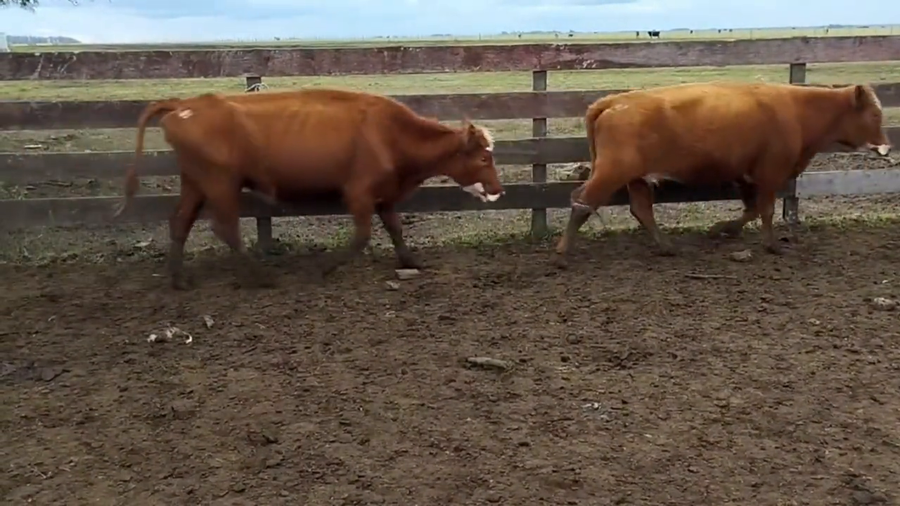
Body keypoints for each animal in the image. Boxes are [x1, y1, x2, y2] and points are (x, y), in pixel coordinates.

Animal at [113, 89, 504, 290]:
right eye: (485, 157)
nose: (498, 189)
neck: (389, 132)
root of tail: (187, 104)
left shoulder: (384, 196)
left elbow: (395, 227)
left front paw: (410, 261)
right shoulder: (359, 193)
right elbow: (362, 236)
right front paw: (326, 269)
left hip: (194, 183)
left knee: (180, 222)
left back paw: (178, 278)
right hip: (220, 183)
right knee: (225, 228)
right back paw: (261, 276)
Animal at [554, 81, 891, 265]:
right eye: (875, 114)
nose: (886, 147)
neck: (797, 110)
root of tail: (611, 101)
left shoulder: (746, 175)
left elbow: (751, 209)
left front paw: (722, 229)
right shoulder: (770, 173)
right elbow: (765, 210)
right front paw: (770, 245)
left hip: (635, 177)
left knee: (640, 209)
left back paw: (666, 247)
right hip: (612, 171)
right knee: (583, 202)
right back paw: (562, 252)